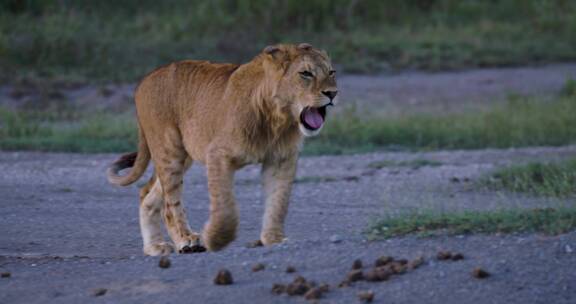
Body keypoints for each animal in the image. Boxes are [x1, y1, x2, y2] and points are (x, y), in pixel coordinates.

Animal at [108, 42, 338, 255]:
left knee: (147, 193)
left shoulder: (281, 159)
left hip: (182, 156)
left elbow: (278, 202)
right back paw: (186, 240)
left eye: (331, 72)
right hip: (170, 150)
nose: (333, 93)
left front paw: (274, 239)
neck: (277, 120)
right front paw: (217, 238)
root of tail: (145, 79)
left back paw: (155, 246)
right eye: (306, 74)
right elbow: (225, 206)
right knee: (169, 205)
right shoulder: (218, 154)